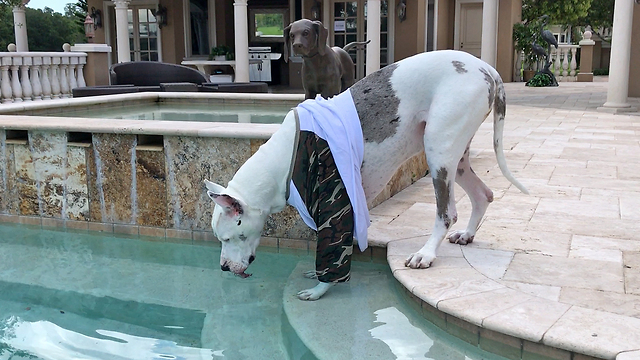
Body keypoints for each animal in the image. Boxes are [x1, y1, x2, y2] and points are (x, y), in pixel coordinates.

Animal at [206, 48, 528, 300]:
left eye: (228, 238)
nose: (222, 267)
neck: (283, 160)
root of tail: (487, 69)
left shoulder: (333, 198)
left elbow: (331, 249)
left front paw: (321, 288)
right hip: (456, 159)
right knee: (483, 194)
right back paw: (468, 235)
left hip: (439, 152)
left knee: (447, 213)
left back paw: (426, 253)